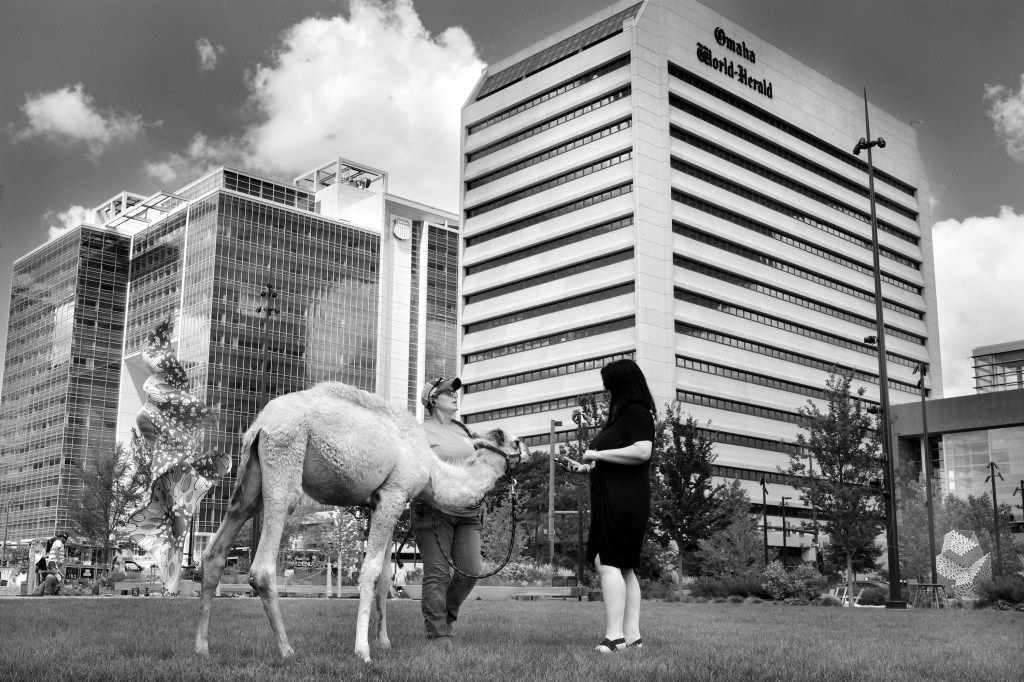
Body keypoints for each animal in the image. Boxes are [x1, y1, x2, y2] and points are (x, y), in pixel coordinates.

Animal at [194, 382, 529, 663]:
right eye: (517, 441)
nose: (527, 452)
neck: (432, 473)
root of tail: (259, 424)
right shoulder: (394, 494)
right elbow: (368, 572)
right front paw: (363, 651)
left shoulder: (381, 502)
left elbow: (384, 578)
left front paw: (384, 642)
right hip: (284, 457)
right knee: (262, 567)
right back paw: (287, 650)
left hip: (250, 480)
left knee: (215, 553)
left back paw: (202, 648)